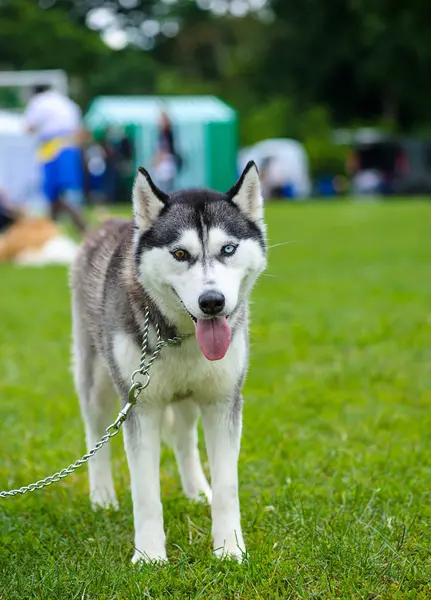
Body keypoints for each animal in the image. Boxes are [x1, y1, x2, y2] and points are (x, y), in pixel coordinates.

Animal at [71, 161, 266, 564]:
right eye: (179, 254)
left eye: (228, 249)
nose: (212, 302)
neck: (182, 338)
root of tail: (105, 224)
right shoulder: (141, 406)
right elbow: (145, 492)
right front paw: (149, 557)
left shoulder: (222, 400)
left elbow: (228, 485)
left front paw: (230, 549)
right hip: (97, 382)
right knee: (95, 434)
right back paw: (102, 497)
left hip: (189, 396)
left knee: (184, 437)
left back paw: (197, 490)